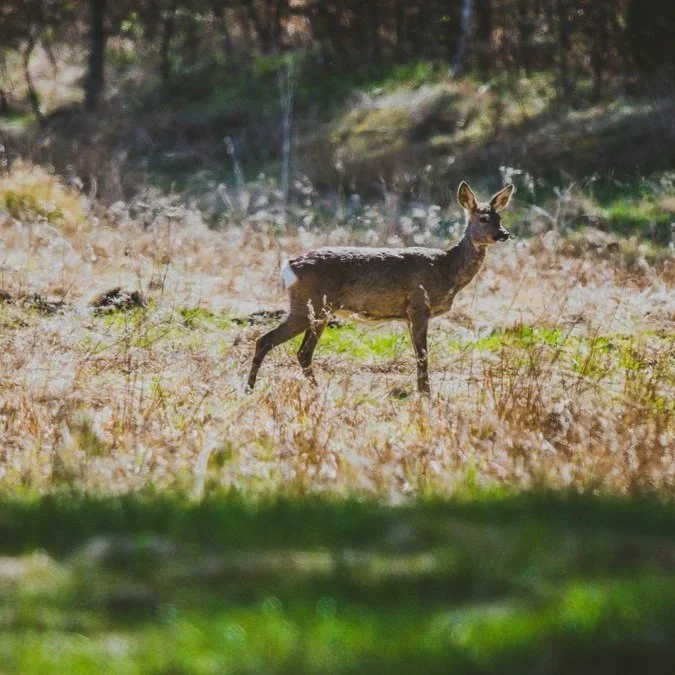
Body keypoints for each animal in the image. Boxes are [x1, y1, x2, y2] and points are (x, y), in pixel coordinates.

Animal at [247, 181, 514, 395]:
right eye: (482, 219)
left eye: (499, 218)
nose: (504, 234)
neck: (446, 268)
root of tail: (289, 265)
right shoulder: (419, 305)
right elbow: (423, 355)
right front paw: (426, 395)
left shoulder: (409, 315)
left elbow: (419, 354)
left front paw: (422, 392)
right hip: (307, 305)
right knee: (265, 340)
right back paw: (250, 389)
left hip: (319, 311)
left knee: (303, 352)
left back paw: (316, 390)